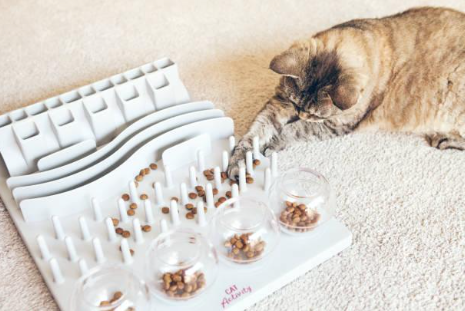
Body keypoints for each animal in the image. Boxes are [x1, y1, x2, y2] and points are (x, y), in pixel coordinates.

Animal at [227, 6, 464, 178]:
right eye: (296, 105)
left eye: (314, 114)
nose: (301, 114)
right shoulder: (280, 102)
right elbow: (256, 132)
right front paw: (240, 160)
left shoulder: (333, 125)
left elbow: (293, 130)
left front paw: (274, 142)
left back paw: (444, 138)